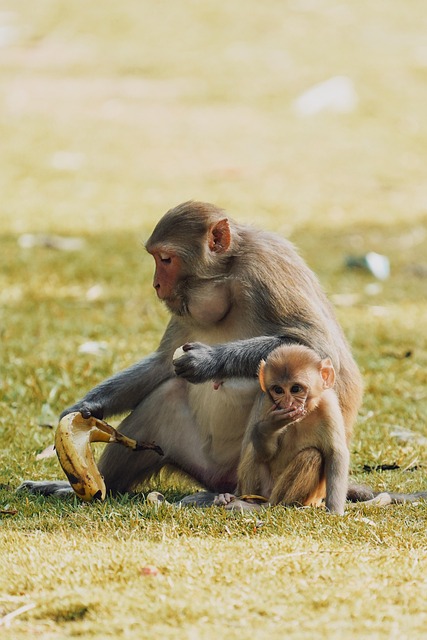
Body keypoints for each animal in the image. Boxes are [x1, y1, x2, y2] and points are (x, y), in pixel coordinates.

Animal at [216, 344, 350, 515]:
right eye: (278, 390)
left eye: (295, 389)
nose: (287, 403)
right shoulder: (266, 402)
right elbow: (265, 452)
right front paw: (271, 426)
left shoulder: (329, 406)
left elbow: (335, 454)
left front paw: (334, 510)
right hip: (265, 488)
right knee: (255, 450)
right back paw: (245, 500)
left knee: (311, 455)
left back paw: (265, 506)